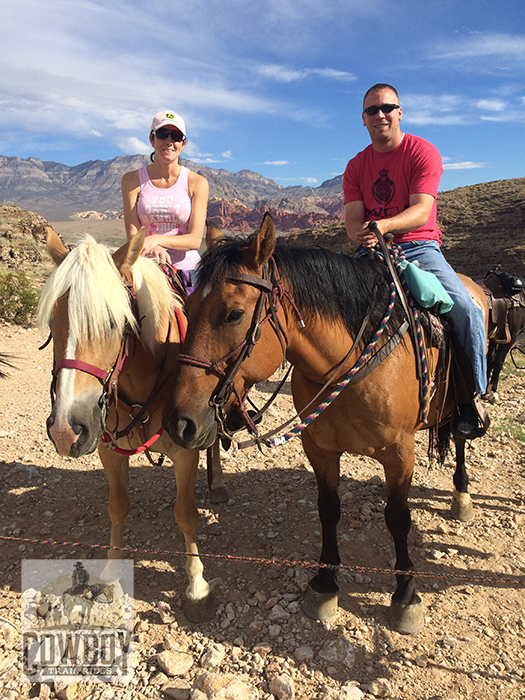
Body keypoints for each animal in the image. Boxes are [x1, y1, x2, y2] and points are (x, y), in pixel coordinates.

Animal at [38, 230, 215, 624]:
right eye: (53, 323)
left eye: (113, 323)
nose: (65, 431)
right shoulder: (107, 447)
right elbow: (117, 507)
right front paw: (110, 573)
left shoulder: (185, 452)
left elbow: (186, 514)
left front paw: (197, 587)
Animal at [163, 213, 488, 636]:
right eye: (187, 306)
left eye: (233, 313)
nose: (179, 422)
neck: (351, 364)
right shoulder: (319, 448)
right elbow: (329, 509)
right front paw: (325, 583)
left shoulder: (400, 454)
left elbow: (398, 518)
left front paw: (405, 596)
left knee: (462, 440)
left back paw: (462, 497)